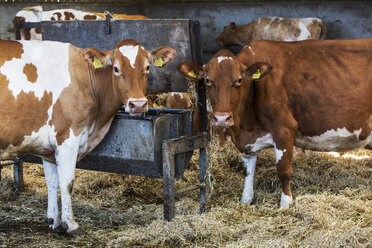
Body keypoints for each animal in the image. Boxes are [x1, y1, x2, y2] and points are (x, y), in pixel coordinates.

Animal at [179, 38, 370, 209]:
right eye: (208, 80)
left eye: (239, 80)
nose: (221, 118)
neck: (246, 125)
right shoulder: (247, 141)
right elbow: (248, 171)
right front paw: (245, 200)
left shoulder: (284, 130)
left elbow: (283, 170)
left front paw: (285, 204)